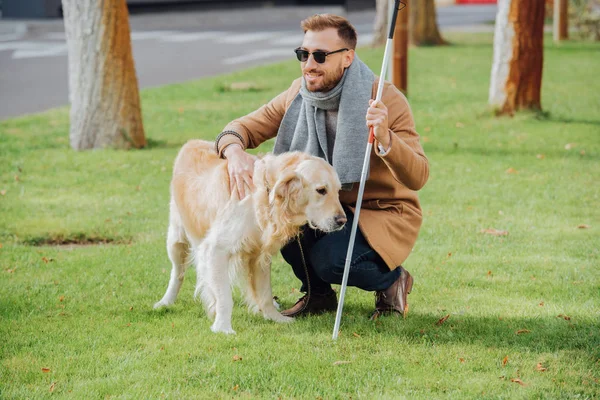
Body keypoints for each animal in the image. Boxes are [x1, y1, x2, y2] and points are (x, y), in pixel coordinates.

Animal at [155, 139, 346, 332]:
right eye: (321, 190)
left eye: (338, 191)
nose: (342, 221)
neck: (265, 196)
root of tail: (191, 142)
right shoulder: (216, 250)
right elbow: (225, 297)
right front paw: (223, 327)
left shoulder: (261, 255)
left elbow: (265, 293)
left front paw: (275, 317)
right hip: (176, 239)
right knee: (178, 273)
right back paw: (166, 301)